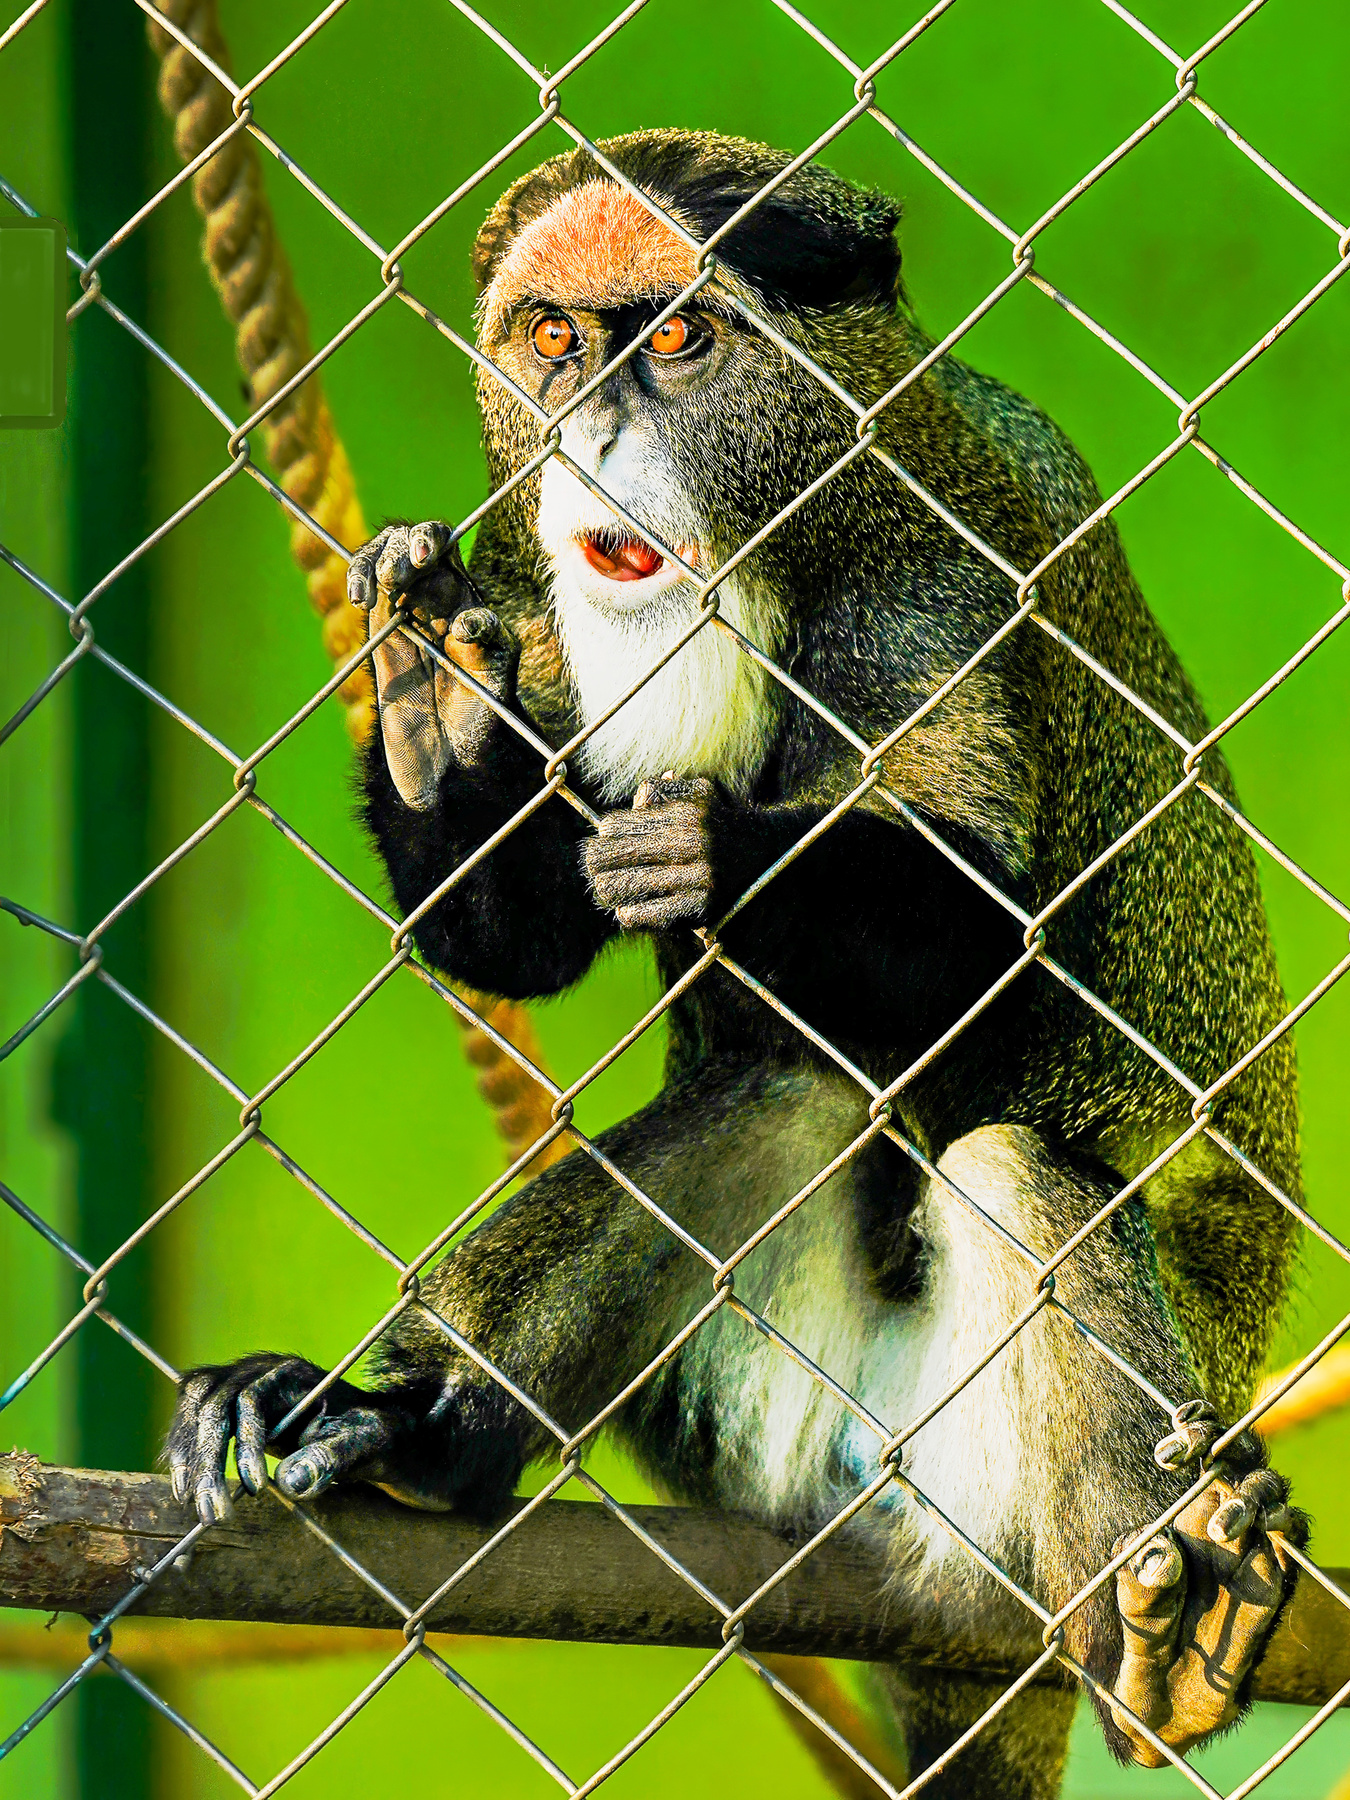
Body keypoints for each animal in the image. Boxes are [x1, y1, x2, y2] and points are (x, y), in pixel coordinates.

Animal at [167, 132, 1308, 1797]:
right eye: (556, 337)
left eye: (680, 341)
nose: (589, 431)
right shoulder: (527, 585)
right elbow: (512, 939)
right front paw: (435, 707)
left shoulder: (940, 581)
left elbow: (986, 934)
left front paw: (712, 858)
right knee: (781, 1096)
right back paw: (418, 1430)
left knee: (1009, 1170)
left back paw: (1168, 1643)